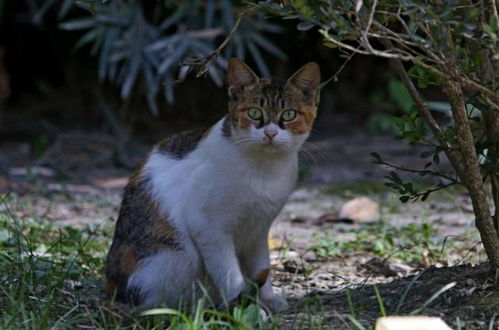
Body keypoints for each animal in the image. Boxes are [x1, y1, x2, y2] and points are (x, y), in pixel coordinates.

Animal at [106, 58, 322, 314]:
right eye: (254, 112)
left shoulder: (259, 228)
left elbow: (262, 264)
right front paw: (243, 309)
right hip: (178, 255)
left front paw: (267, 297)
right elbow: (229, 273)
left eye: (289, 114)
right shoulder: (208, 227)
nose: (270, 133)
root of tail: (111, 286)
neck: (264, 169)